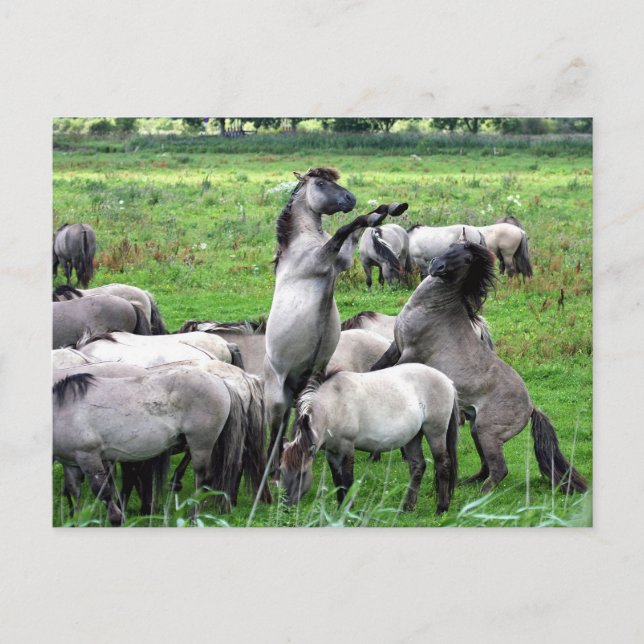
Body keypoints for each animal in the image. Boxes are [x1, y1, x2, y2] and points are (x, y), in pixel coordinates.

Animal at [52, 366, 247, 525]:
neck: (63, 410)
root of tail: (221, 382)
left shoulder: (88, 456)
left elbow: (102, 491)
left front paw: (116, 519)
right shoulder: (71, 463)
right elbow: (73, 492)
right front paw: (76, 521)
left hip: (200, 445)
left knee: (203, 478)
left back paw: (193, 516)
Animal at [263, 166, 408, 480]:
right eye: (319, 183)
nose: (350, 199)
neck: (303, 240)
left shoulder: (340, 261)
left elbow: (356, 230)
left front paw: (387, 209)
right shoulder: (321, 259)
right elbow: (347, 228)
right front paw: (377, 213)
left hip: (302, 383)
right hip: (277, 397)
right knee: (275, 429)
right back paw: (272, 470)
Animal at [280, 364, 460, 514]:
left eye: (302, 474)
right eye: (281, 471)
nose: (286, 506)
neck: (332, 406)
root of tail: (448, 381)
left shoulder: (347, 447)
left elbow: (347, 479)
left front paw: (348, 510)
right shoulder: (331, 452)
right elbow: (337, 480)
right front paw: (340, 508)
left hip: (435, 432)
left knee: (443, 465)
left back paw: (441, 508)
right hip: (414, 437)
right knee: (417, 466)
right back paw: (407, 507)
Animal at [370, 241, 588, 494]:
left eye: (466, 259)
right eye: (451, 246)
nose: (436, 266)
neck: (432, 309)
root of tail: (531, 408)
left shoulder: (410, 355)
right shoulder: (396, 347)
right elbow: (374, 369)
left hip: (487, 431)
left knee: (499, 469)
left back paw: (481, 495)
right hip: (476, 429)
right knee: (486, 467)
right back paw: (465, 484)